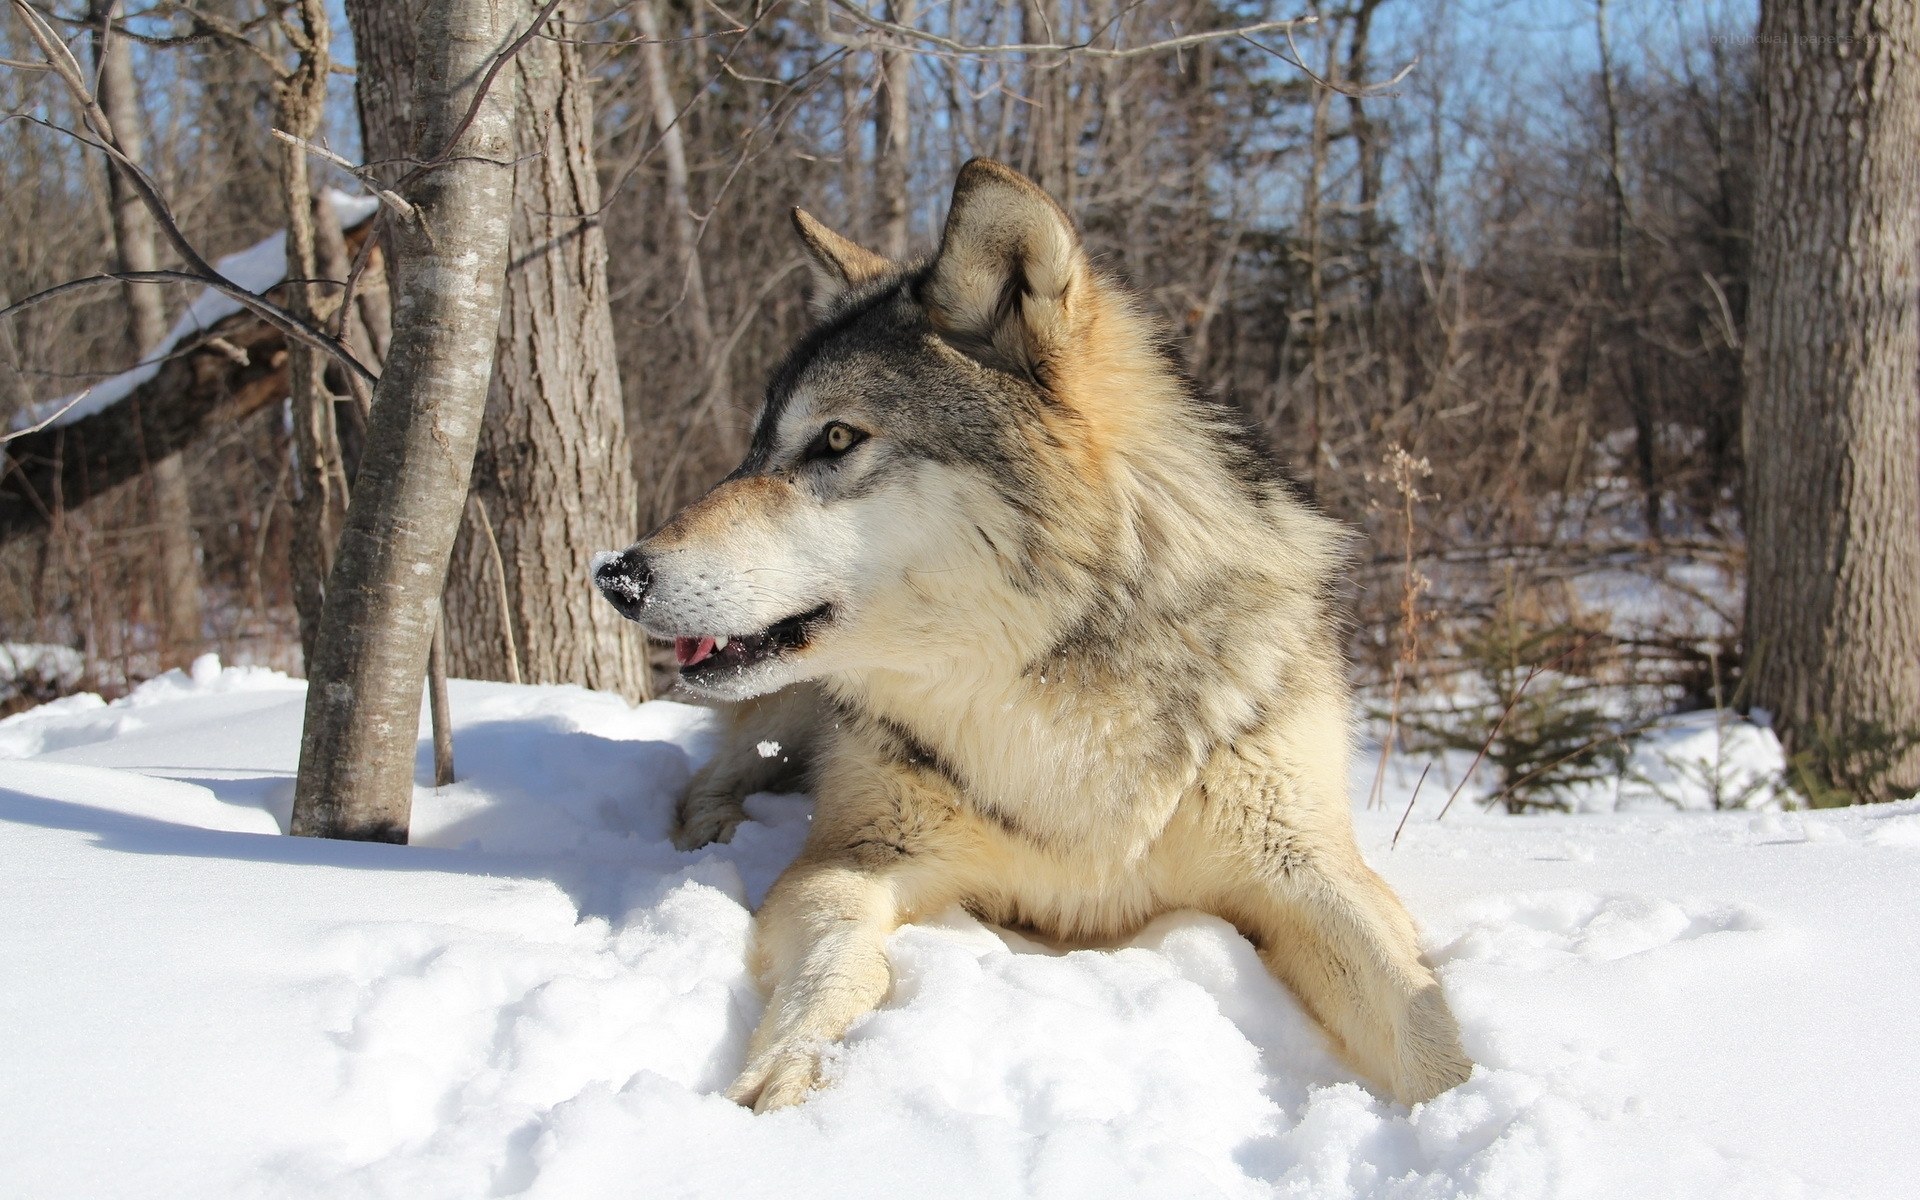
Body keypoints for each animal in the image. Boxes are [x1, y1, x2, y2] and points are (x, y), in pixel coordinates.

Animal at [594, 160, 1473, 1112]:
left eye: (834, 438)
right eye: (756, 447)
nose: (617, 576)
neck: (1050, 687)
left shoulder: (1311, 868)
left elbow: (1423, 1022)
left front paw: (1465, 1114)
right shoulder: (850, 855)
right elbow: (837, 966)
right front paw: (788, 1070)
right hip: (786, 713)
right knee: (711, 777)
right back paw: (712, 831)